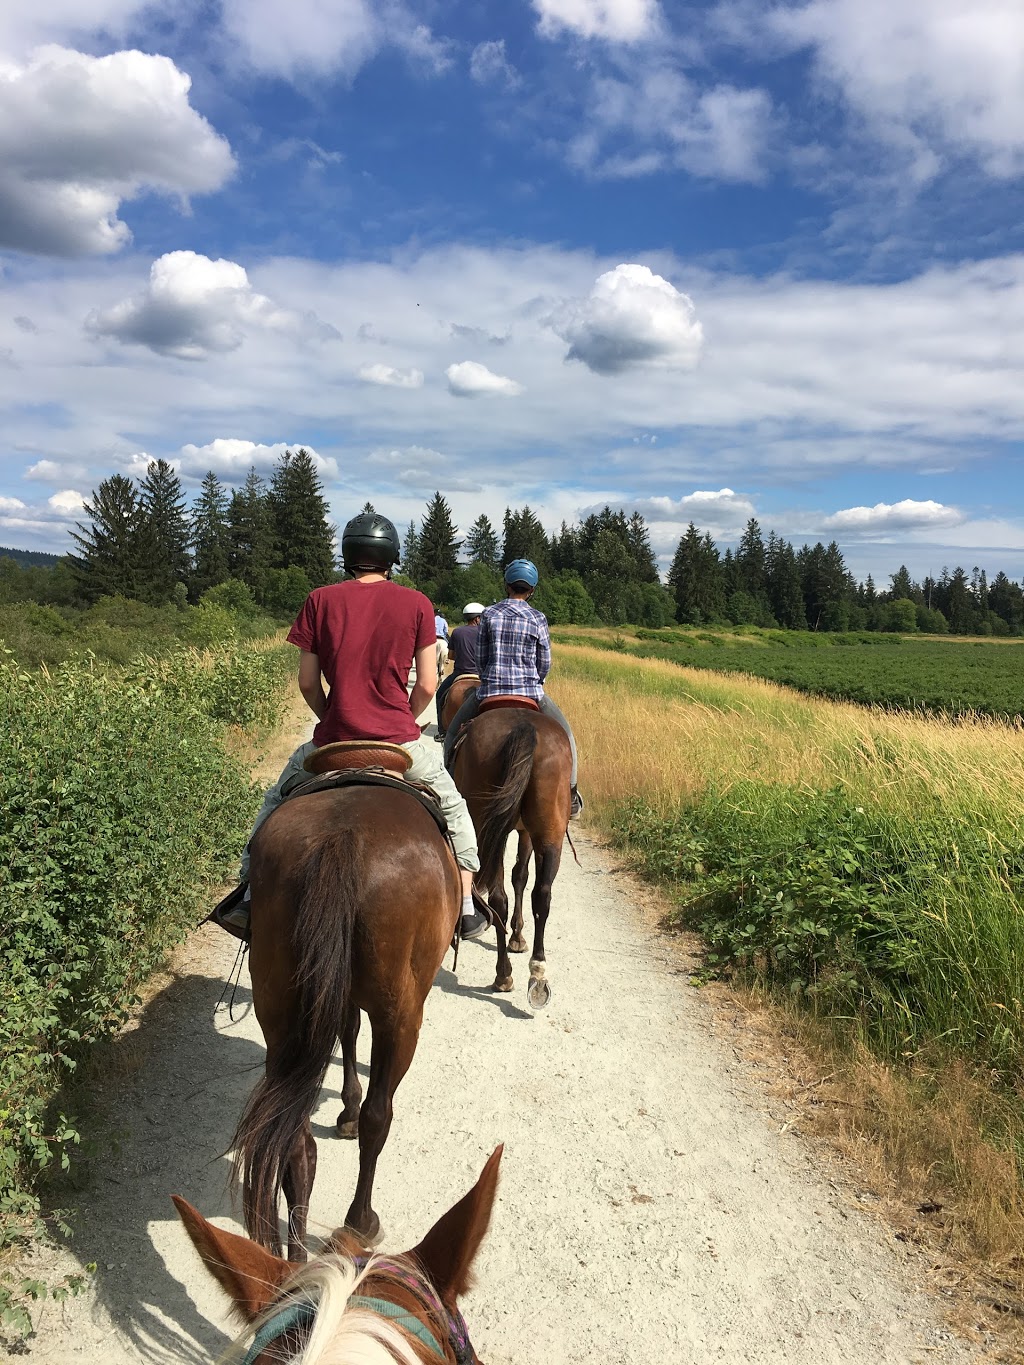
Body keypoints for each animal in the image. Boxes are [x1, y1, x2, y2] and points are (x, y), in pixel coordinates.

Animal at [234, 769, 464, 1255]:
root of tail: (340, 839)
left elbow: (348, 1027)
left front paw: (345, 1111)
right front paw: (351, 1113)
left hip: (280, 1010)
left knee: (294, 1135)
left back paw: (296, 1258)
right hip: (401, 1016)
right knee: (381, 1116)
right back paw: (360, 1222)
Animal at [453, 709, 573, 1010]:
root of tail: (524, 728)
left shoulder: (521, 832)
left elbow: (519, 876)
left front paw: (516, 936)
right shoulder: (526, 832)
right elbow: (521, 876)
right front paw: (517, 936)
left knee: (505, 899)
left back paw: (506, 974)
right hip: (548, 835)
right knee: (539, 896)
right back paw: (534, 976)